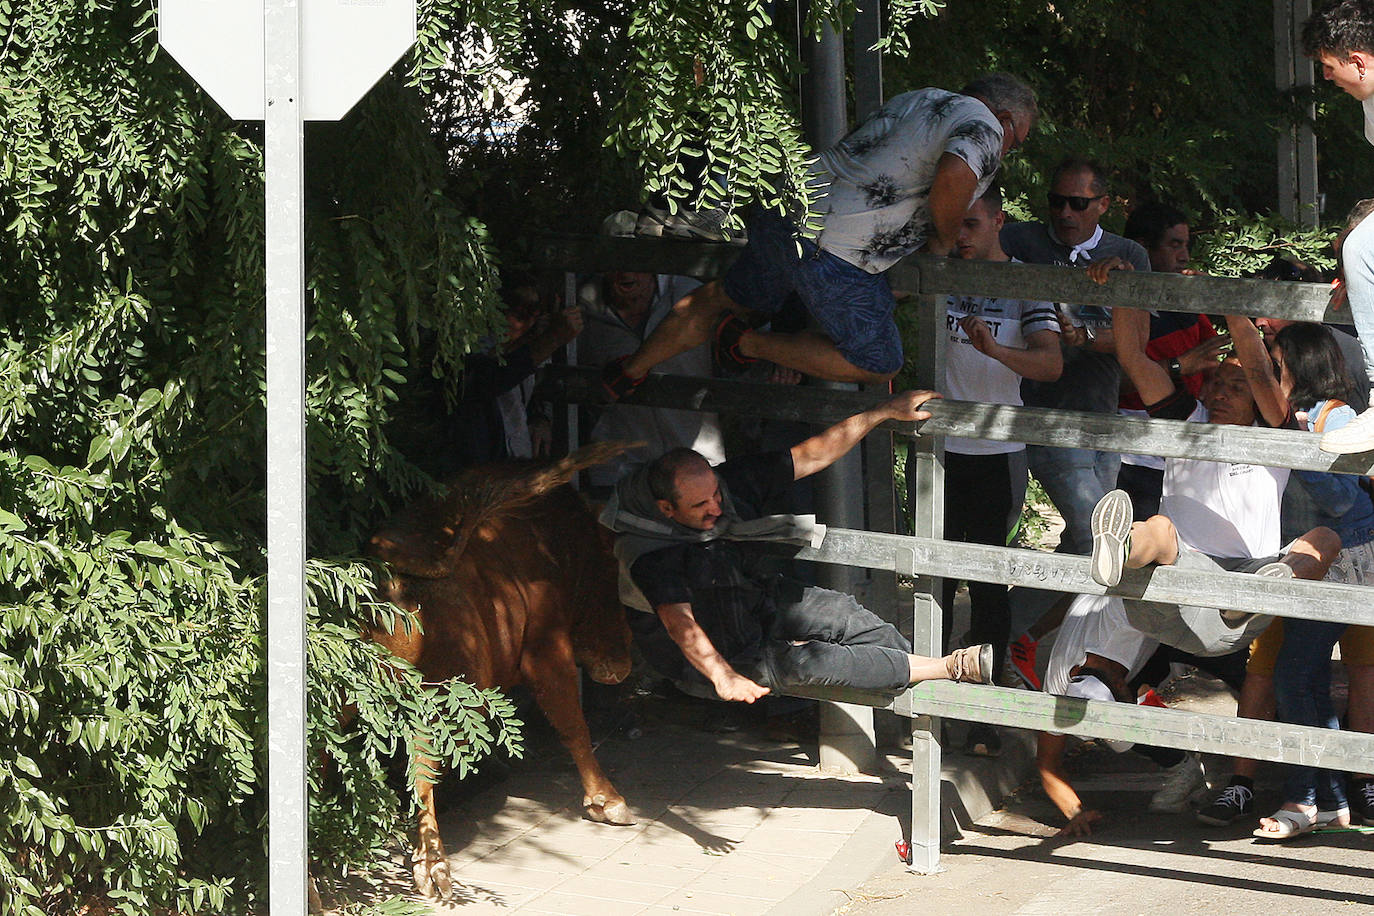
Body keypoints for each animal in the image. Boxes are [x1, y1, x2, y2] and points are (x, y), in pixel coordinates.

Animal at [370, 444, 637, 900]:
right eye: (612, 570)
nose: (621, 663)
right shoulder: (546, 650)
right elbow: (573, 725)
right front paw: (608, 801)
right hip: (441, 698)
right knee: (421, 770)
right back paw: (434, 866)